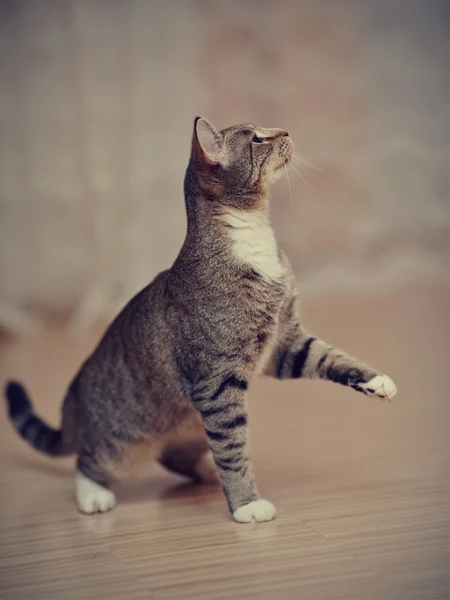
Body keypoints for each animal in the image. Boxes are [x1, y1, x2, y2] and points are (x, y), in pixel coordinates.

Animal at [4, 117, 398, 520]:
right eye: (257, 139)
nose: (285, 131)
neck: (252, 240)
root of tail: (72, 402)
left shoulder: (283, 343)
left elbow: (328, 356)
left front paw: (377, 381)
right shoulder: (217, 385)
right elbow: (233, 449)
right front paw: (246, 504)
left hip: (190, 427)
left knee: (179, 458)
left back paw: (209, 471)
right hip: (123, 446)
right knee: (87, 462)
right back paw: (95, 496)